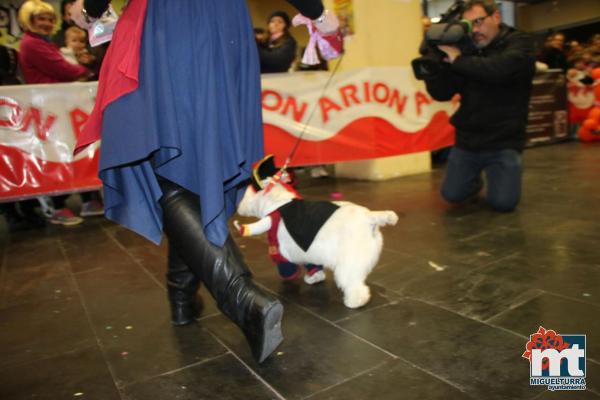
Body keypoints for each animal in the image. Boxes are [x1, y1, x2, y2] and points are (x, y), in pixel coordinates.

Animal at [234, 158, 398, 308]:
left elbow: (286, 265)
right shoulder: (309, 250)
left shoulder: (280, 248)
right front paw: (315, 276)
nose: (237, 207)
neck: (280, 202)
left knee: (353, 283)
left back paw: (355, 301)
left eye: (243, 192)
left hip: (349, 261)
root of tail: (369, 216)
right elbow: (312, 264)